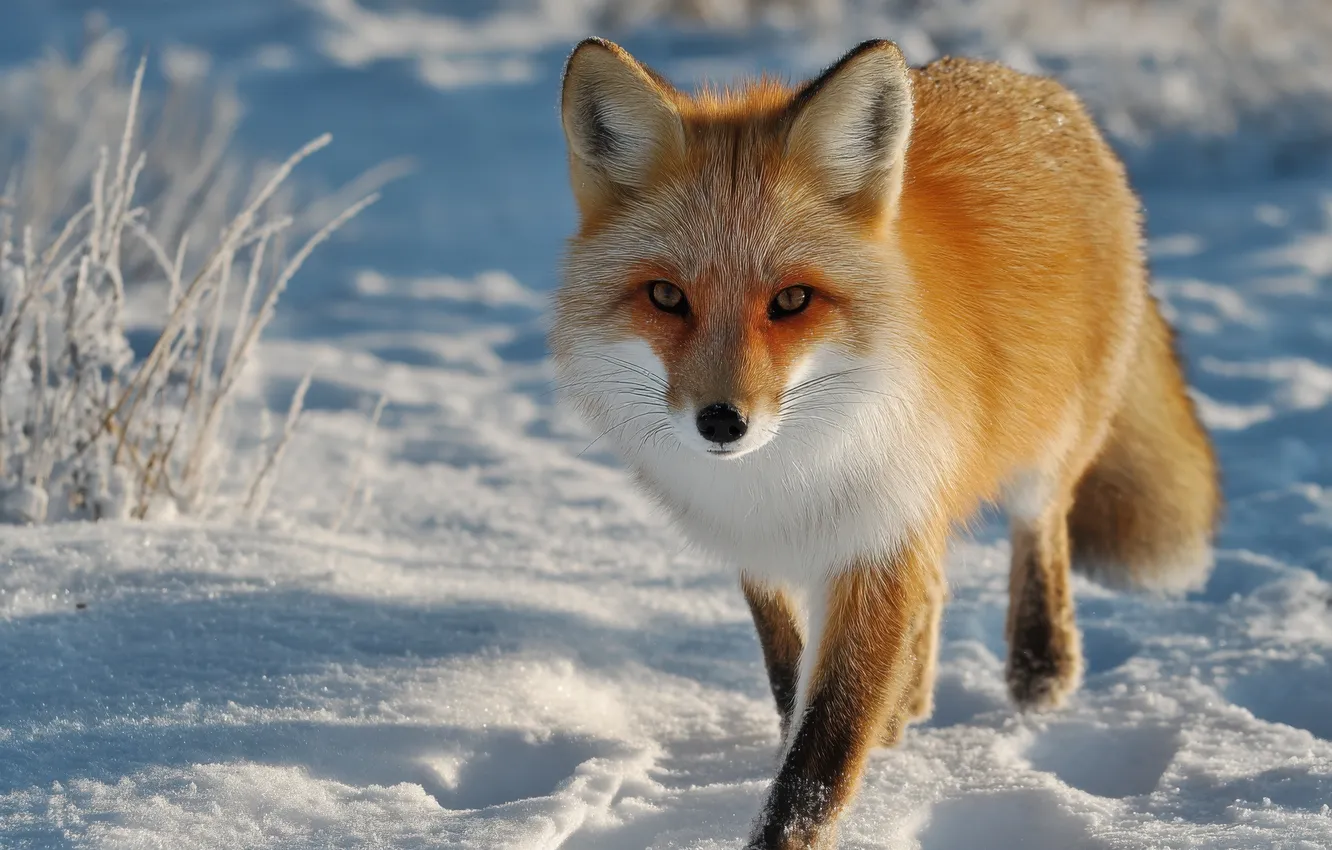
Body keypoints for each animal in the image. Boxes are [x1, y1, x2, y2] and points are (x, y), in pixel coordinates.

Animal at [551, 37, 1220, 849]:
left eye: (793, 300)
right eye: (666, 297)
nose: (722, 422)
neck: (783, 474)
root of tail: (1037, 86)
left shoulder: (878, 538)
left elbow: (821, 755)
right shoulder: (763, 545)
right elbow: (790, 679)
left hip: (1046, 446)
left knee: (1041, 528)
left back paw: (1040, 668)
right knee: (937, 591)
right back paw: (909, 710)